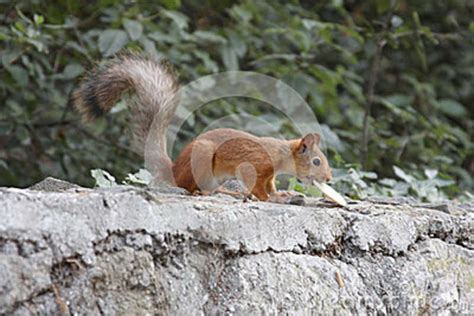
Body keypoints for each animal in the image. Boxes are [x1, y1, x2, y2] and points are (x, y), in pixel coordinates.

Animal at [72, 54, 334, 202]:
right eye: (316, 161)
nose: (329, 178)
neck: (280, 154)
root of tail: (174, 170)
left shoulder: (269, 175)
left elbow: (270, 185)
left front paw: (280, 194)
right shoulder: (256, 166)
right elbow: (259, 187)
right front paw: (269, 199)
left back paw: (228, 192)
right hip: (202, 159)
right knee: (191, 189)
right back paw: (209, 193)